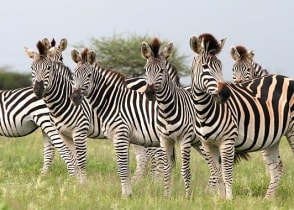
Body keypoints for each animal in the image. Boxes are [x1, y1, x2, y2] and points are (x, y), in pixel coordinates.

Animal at [188, 32, 294, 199]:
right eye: (205, 67)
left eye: (221, 66)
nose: (225, 94)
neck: (203, 110)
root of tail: (286, 77)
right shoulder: (207, 144)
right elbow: (217, 174)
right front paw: (220, 199)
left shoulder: (227, 141)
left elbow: (227, 174)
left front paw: (229, 200)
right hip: (273, 138)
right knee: (276, 167)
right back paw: (268, 200)